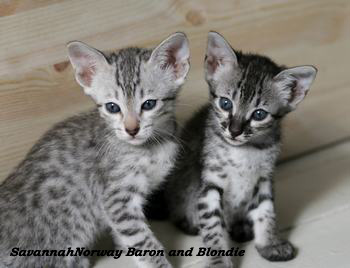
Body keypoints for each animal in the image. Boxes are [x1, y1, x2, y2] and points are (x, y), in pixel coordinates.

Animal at [0, 31, 190, 268]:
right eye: (112, 107)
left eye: (149, 104)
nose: (131, 129)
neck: (151, 147)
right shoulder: (117, 199)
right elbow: (143, 240)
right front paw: (159, 264)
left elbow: (126, 236)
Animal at [152, 31, 316, 268]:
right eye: (226, 103)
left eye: (259, 114)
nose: (235, 131)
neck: (244, 152)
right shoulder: (210, 184)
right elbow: (213, 226)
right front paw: (218, 260)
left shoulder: (263, 178)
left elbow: (266, 212)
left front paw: (270, 243)